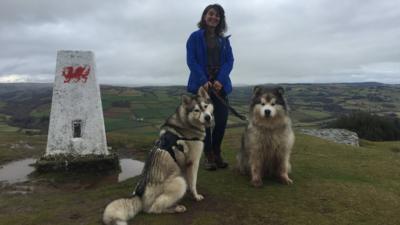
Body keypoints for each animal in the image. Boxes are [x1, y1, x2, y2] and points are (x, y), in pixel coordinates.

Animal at [103, 87, 214, 225]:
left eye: (205, 106)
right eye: (196, 110)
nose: (208, 117)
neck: (186, 124)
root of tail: (139, 196)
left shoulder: (184, 165)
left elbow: (190, 180)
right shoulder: (193, 162)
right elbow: (193, 183)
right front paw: (196, 196)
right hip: (179, 182)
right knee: (154, 209)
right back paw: (176, 208)